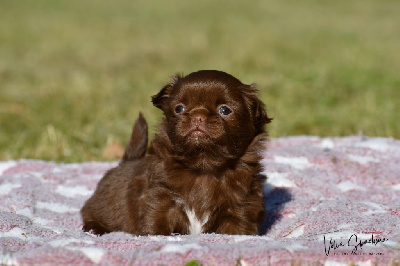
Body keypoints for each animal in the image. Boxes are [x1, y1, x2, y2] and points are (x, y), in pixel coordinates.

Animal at [80, 70, 272, 235]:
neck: (203, 166)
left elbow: (238, 230)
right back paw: (94, 228)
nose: (198, 116)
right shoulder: (159, 200)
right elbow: (154, 225)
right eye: (179, 108)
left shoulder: (239, 207)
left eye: (225, 110)